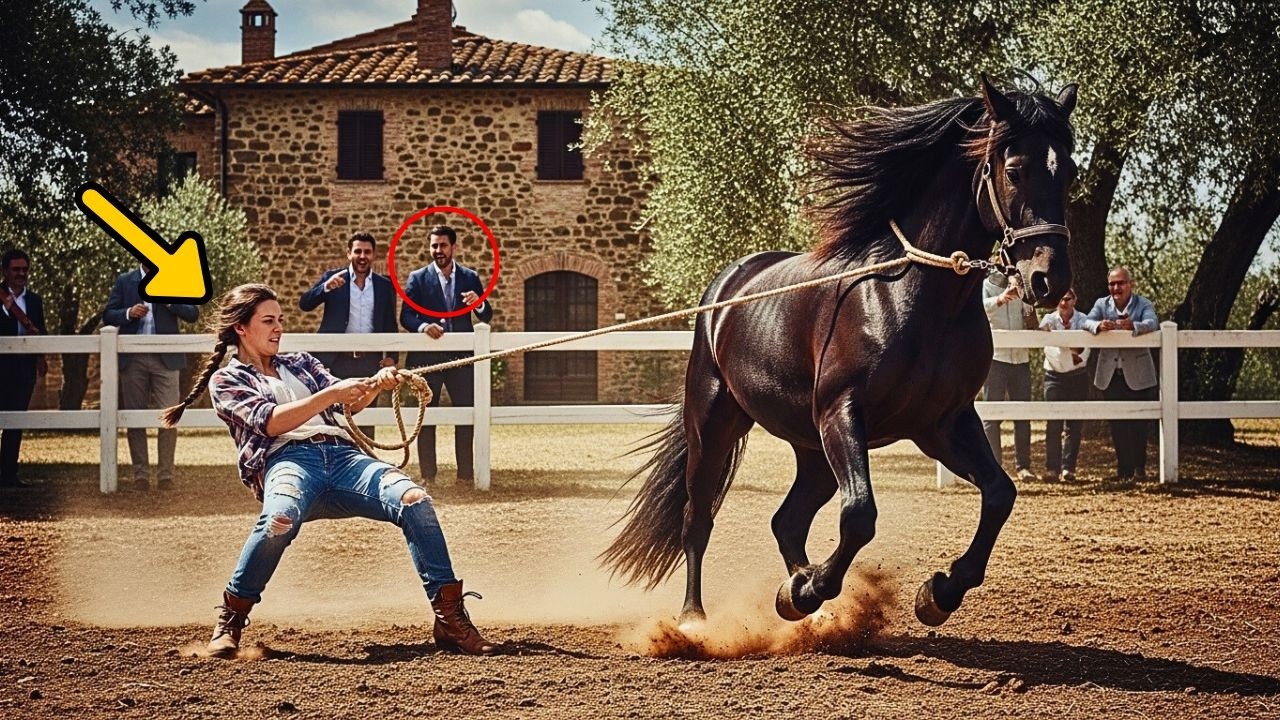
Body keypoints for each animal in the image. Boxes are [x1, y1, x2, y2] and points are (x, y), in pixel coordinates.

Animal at [601, 77, 1078, 627]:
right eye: (1015, 169)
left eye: (1070, 172)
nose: (1048, 278)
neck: (911, 298)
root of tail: (727, 286)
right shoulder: (842, 412)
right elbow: (860, 516)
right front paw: (811, 590)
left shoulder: (943, 423)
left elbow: (1000, 494)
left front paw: (938, 592)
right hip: (716, 423)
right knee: (697, 517)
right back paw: (696, 618)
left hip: (812, 451)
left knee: (786, 520)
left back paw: (803, 600)